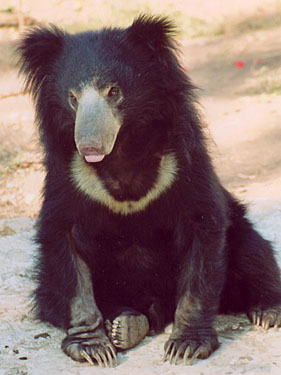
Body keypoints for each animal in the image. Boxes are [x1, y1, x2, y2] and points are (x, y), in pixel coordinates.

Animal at [17, 16, 280, 368]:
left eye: (114, 91)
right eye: (73, 97)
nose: (89, 146)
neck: (123, 148)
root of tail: (157, 309)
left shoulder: (183, 165)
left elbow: (202, 234)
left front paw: (186, 345)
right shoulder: (68, 177)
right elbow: (66, 249)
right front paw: (93, 348)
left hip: (240, 235)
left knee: (254, 252)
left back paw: (268, 310)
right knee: (51, 294)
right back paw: (126, 324)